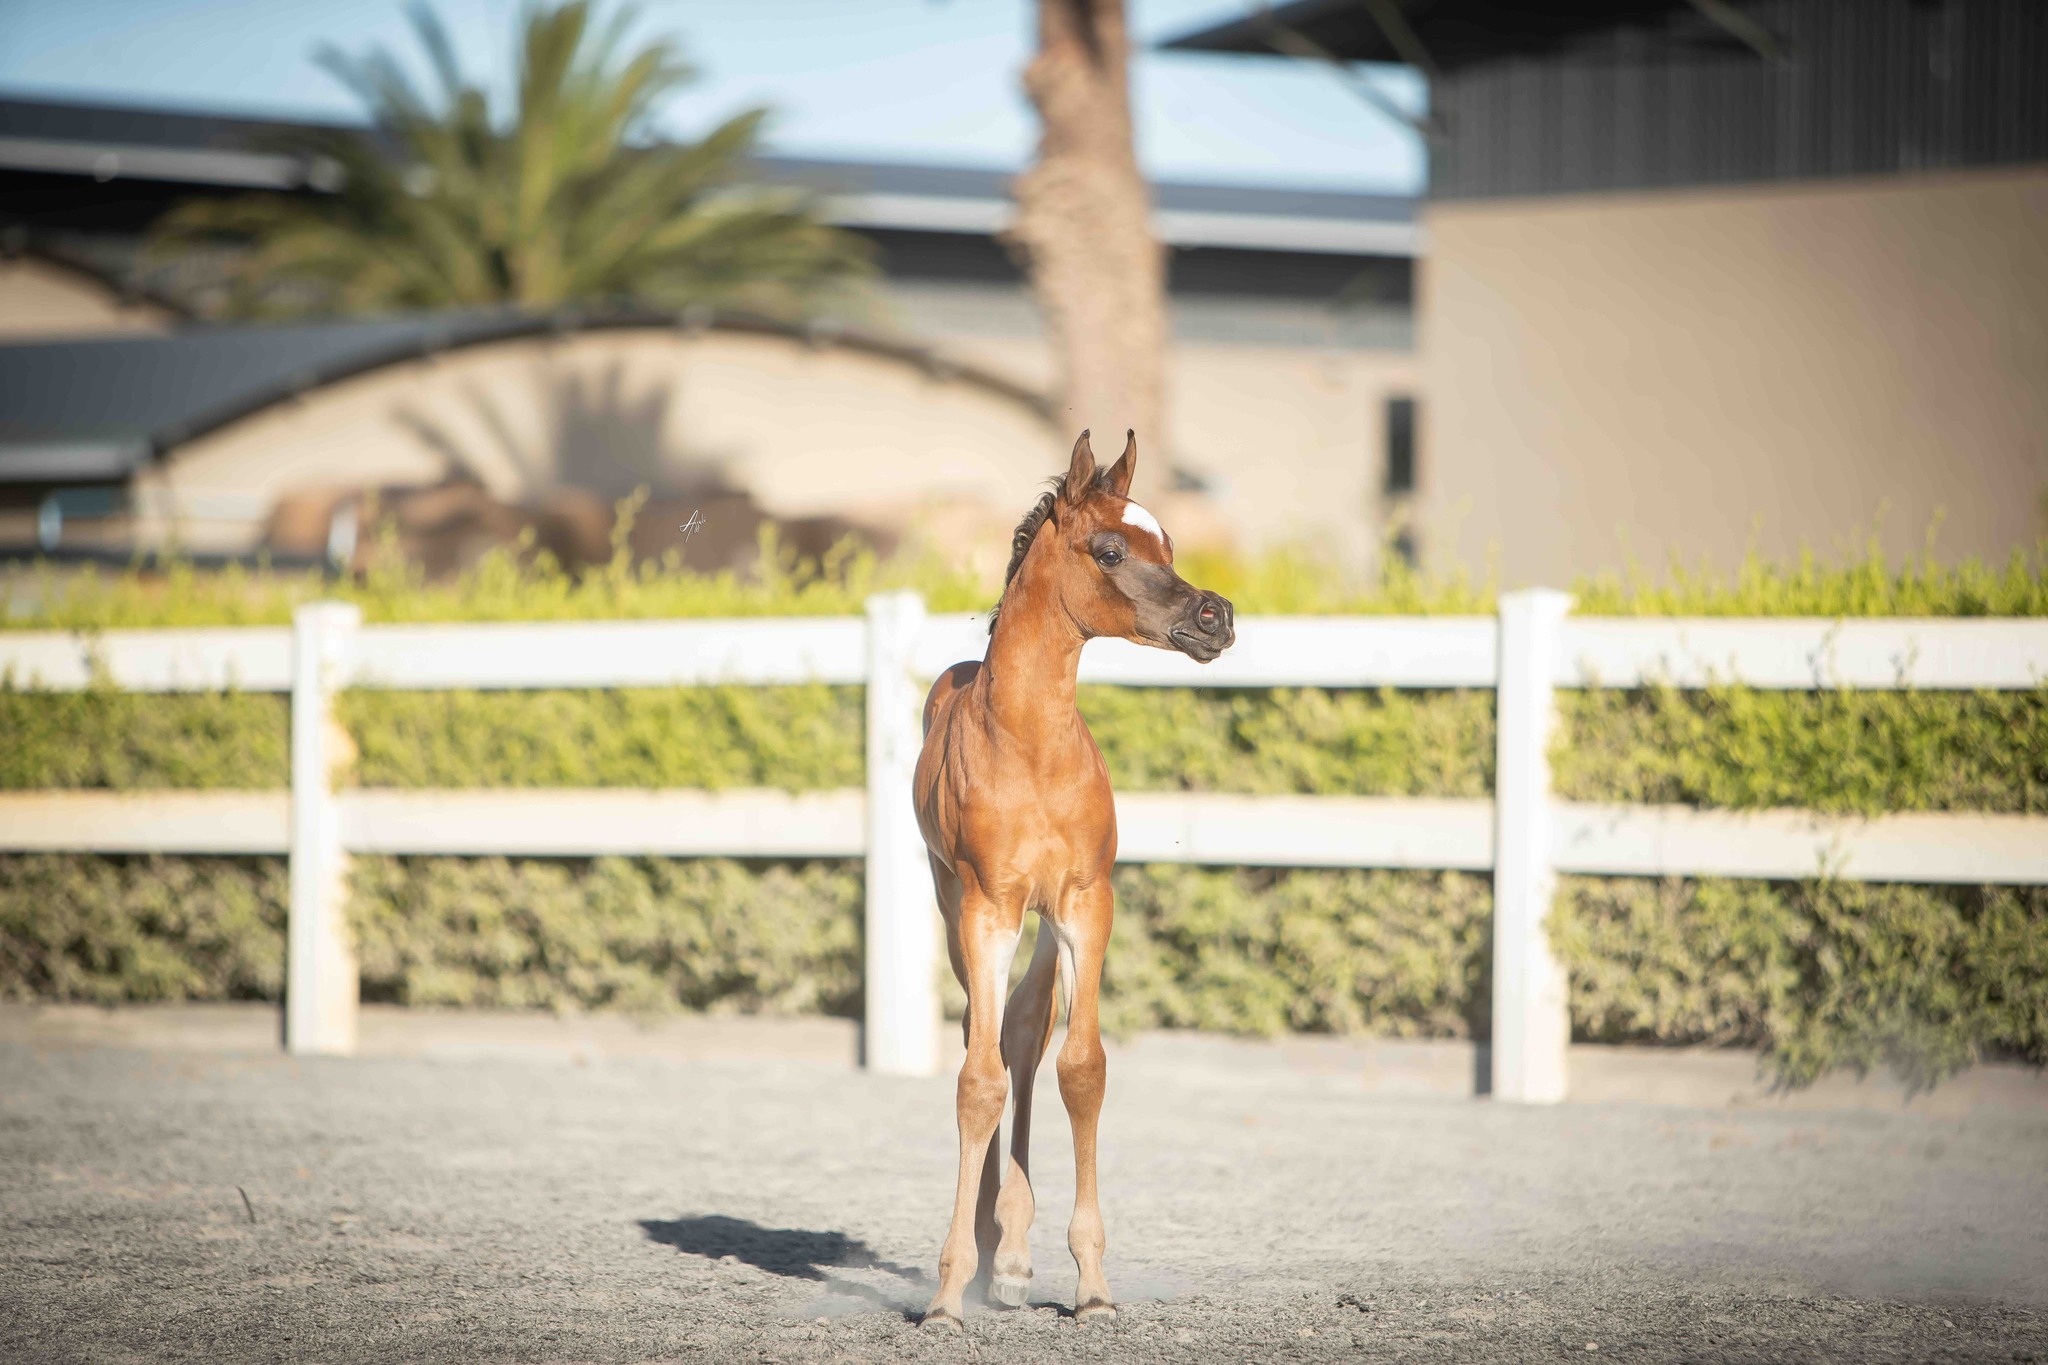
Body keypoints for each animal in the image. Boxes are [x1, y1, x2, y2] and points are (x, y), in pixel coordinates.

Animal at [913, 431, 1228, 1326]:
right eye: (1112, 549)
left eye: (1170, 542)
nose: (1214, 616)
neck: (1030, 746)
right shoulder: (988, 906)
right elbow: (977, 1080)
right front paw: (948, 1292)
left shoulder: (1087, 902)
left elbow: (1079, 1067)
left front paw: (1092, 1287)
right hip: (957, 904)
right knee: (984, 1038)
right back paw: (995, 1256)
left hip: (1048, 922)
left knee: (1024, 1029)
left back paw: (1015, 1257)